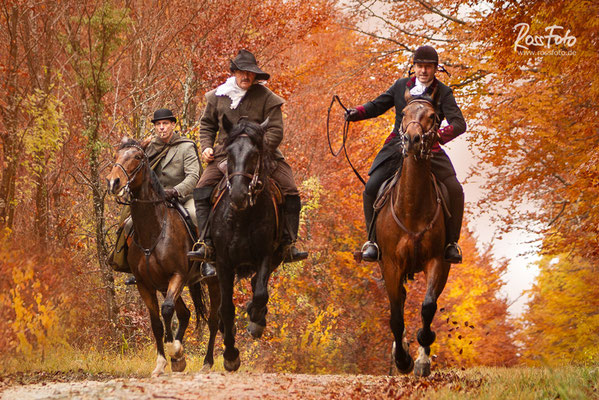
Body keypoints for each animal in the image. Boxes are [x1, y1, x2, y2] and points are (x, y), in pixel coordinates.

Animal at [106, 137, 221, 376]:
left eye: (138, 157)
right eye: (116, 156)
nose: (113, 182)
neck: (154, 230)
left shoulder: (177, 275)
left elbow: (167, 311)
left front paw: (175, 351)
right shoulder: (145, 284)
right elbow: (156, 322)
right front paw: (163, 362)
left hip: (214, 280)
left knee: (214, 319)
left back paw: (207, 362)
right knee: (185, 314)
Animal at [212, 116, 284, 372]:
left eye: (254, 154)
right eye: (229, 153)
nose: (238, 195)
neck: (241, 218)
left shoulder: (265, 255)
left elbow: (261, 293)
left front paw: (255, 320)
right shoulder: (222, 263)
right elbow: (226, 309)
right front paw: (231, 355)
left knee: (257, 286)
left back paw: (257, 316)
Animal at [376, 88, 450, 378]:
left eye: (432, 116)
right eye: (404, 113)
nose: (412, 139)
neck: (412, 207)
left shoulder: (437, 261)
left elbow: (428, 307)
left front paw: (421, 357)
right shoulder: (391, 264)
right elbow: (396, 316)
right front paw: (401, 358)